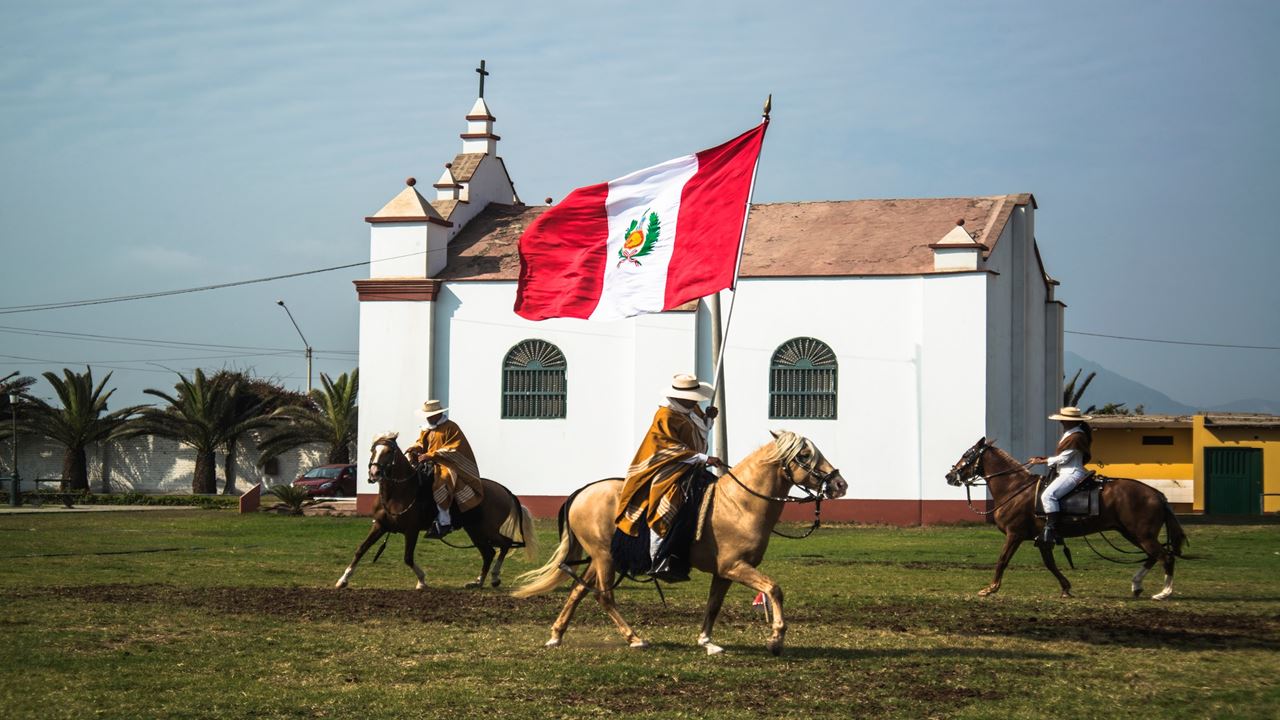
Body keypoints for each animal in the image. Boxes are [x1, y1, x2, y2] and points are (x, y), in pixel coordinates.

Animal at [334, 432, 537, 590]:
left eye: (389, 451)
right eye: (373, 450)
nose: (374, 473)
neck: (399, 492)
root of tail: (505, 491)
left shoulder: (411, 530)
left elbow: (408, 557)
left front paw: (422, 581)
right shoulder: (380, 526)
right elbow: (360, 550)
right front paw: (343, 580)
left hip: (487, 529)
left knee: (504, 544)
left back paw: (494, 577)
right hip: (475, 531)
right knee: (489, 553)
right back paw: (478, 581)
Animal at [512, 431, 846, 656]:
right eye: (804, 456)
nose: (839, 483)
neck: (741, 504)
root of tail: (582, 492)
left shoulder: (724, 572)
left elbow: (713, 605)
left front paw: (707, 642)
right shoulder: (736, 566)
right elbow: (773, 589)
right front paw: (776, 639)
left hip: (601, 558)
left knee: (579, 591)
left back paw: (556, 635)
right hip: (604, 558)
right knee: (604, 597)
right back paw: (634, 638)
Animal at [945, 437, 1188, 600]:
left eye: (967, 454)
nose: (949, 475)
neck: (1015, 488)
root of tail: (1156, 494)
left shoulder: (1014, 535)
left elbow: (1002, 560)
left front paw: (991, 588)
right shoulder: (1042, 539)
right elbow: (1050, 563)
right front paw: (1066, 587)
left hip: (1141, 534)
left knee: (1165, 556)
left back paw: (1164, 592)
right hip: (1132, 533)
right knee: (1154, 555)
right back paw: (1137, 585)